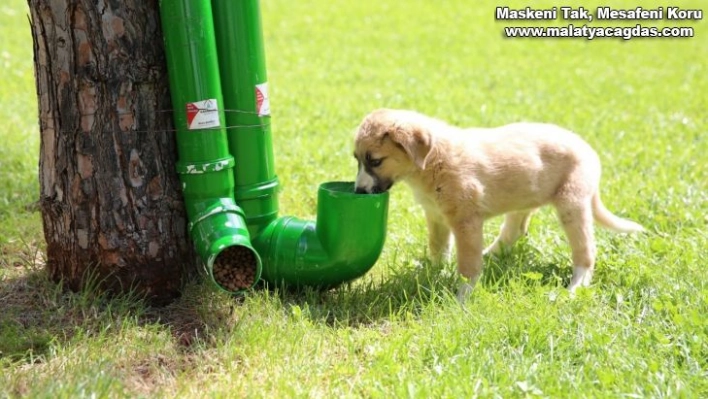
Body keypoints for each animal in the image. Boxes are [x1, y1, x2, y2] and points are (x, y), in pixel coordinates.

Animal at [352, 108, 644, 302]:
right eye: (357, 160)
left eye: (375, 161)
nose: (358, 191)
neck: (432, 161)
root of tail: (587, 148)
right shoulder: (435, 216)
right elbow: (438, 249)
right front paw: (430, 273)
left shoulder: (466, 221)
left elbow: (467, 266)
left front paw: (462, 297)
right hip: (524, 198)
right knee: (514, 230)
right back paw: (491, 255)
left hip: (572, 204)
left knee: (586, 251)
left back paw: (575, 287)